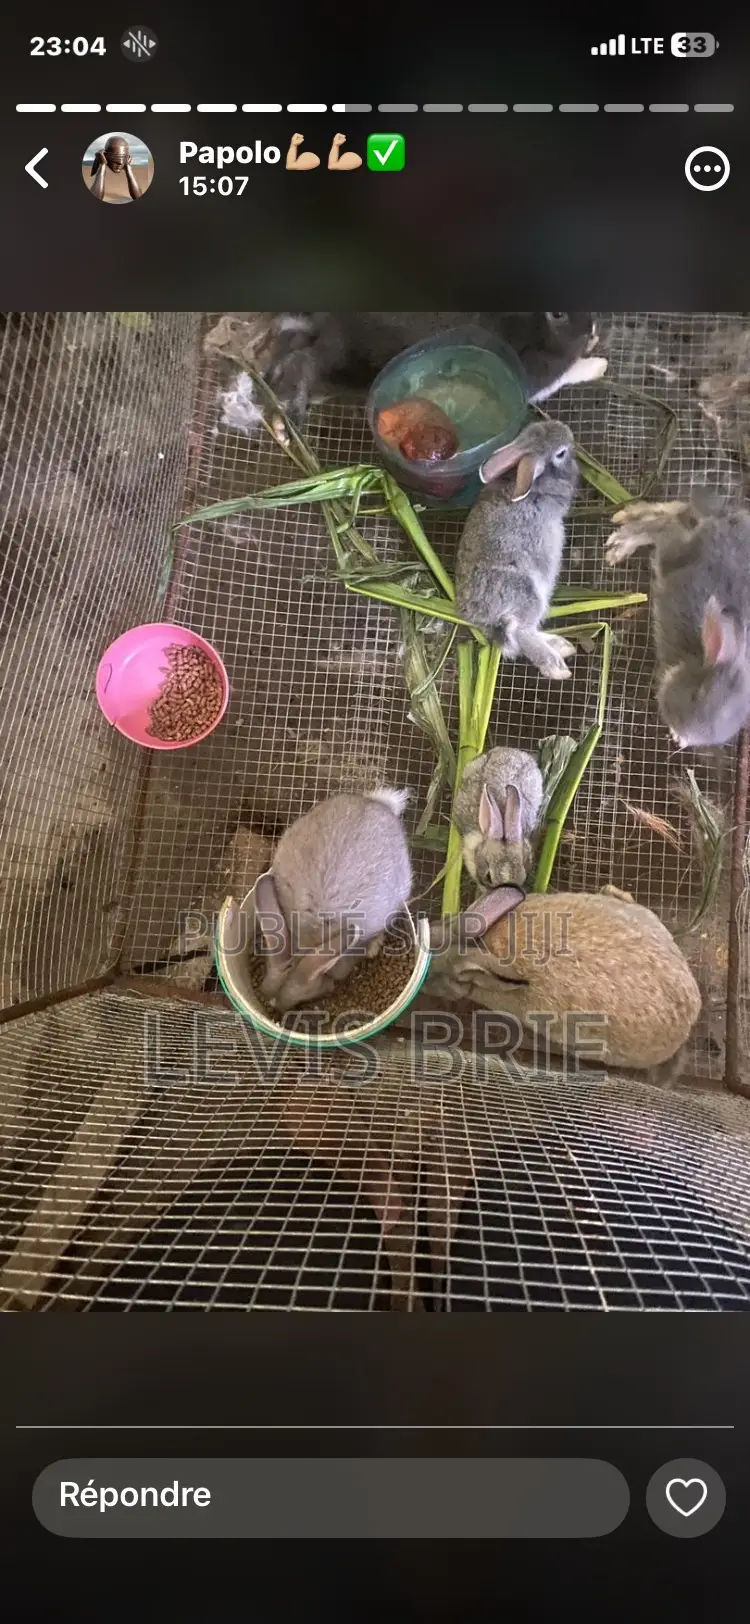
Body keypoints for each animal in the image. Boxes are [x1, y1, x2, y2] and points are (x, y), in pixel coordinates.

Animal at [253, 312, 607, 423]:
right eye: (558, 314)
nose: (592, 328)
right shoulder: (537, 376)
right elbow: (568, 374)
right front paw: (598, 364)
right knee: (306, 361)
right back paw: (292, 411)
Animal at [454, 420, 580, 680]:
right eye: (561, 452)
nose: (569, 434)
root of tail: (480, 616)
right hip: (528, 595)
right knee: (521, 633)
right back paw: (556, 666)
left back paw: (561, 646)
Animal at [604, 493, 750, 749]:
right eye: (697, 694)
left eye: (731, 718)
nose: (685, 734)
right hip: (672, 555)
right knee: (664, 525)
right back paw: (620, 544)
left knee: (674, 513)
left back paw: (627, 516)